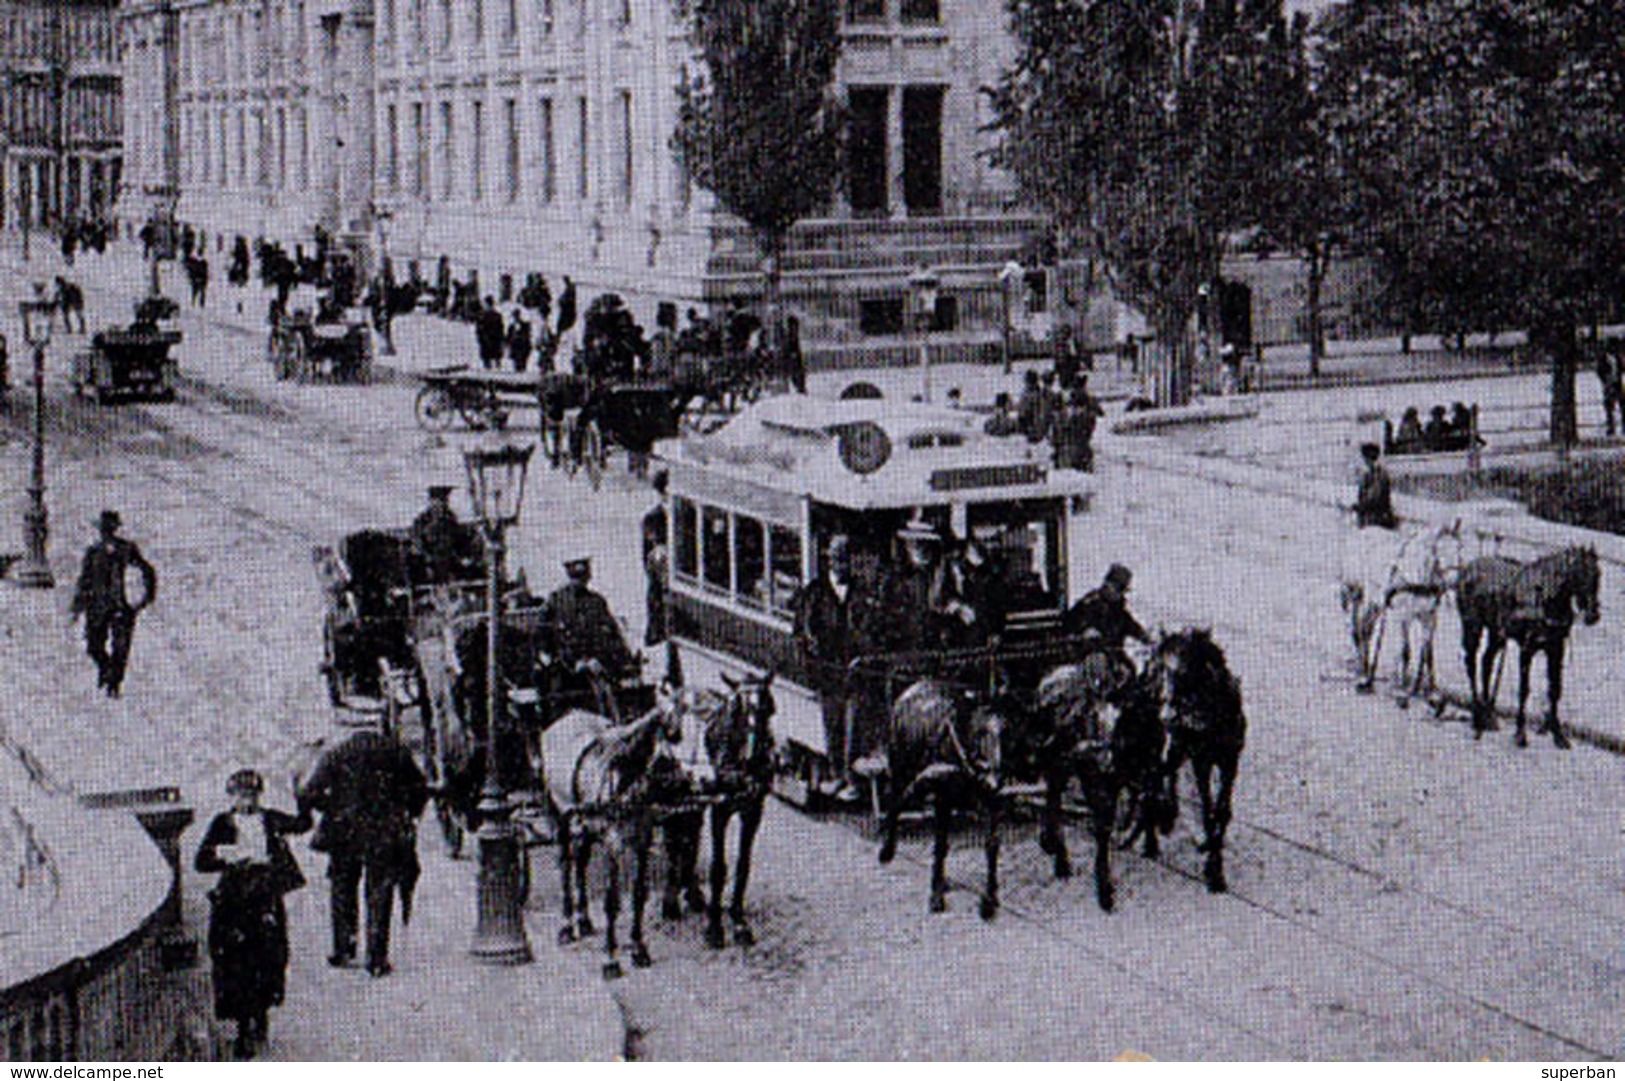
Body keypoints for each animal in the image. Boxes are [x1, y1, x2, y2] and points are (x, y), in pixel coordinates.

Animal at [663, 676, 783, 942]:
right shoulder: (720, 811)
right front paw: (715, 928)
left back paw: (693, 894)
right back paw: (671, 902)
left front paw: (739, 921)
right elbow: (719, 867)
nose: (752, 759)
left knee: (691, 837)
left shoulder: (753, 812)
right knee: (674, 841)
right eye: (735, 709)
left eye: (769, 708)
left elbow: (742, 865)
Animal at [877, 679, 1001, 916]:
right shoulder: (942, 798)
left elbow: (991, 845)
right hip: (900, 767)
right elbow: (941, 845)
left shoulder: (987, 802)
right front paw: (936, 896)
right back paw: (887, 850)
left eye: (1006, 733)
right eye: (980, 732)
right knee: (896, 801)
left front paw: (989, 899)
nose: (994, 781)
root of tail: (913, 688)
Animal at [1033, 650, 1176, 910]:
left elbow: (1146, 802)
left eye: (1132, 714)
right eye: (1095, 716)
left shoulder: (1146, 773)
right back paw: (1060, 859)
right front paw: (1105, 889)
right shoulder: (1098, 782)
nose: (1101, 755)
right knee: (1054, 799)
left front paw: (1150, 843)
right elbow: (1103, 827)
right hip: (1058, 765)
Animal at [1150, 627, 1248, 890]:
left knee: (1168, 770)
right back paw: (1161, 822)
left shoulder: (1230, 761)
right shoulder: (1201, 762)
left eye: (1184, 670)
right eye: (1161, 667)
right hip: (1178, 745)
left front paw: (1214, 854)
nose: (1165, 708)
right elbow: (1206, 809)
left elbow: (1222, 810)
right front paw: (1213, 869)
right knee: (1162, 770)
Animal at [1456, 542, 1605, 747]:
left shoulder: (1556, 649)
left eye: (1597, 574)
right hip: (1472, 628)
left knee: (1487, 662)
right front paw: (1520, 733)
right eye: (1579, 574)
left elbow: (1555, 689)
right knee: (1471, 664)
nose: (1593, 615)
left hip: (1497, 633)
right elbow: (1524, 689)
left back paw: (1489, 716)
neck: (1545, 598)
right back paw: (1477, 715)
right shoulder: (1527, 648)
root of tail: (1469, 568)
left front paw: (1558, 734)